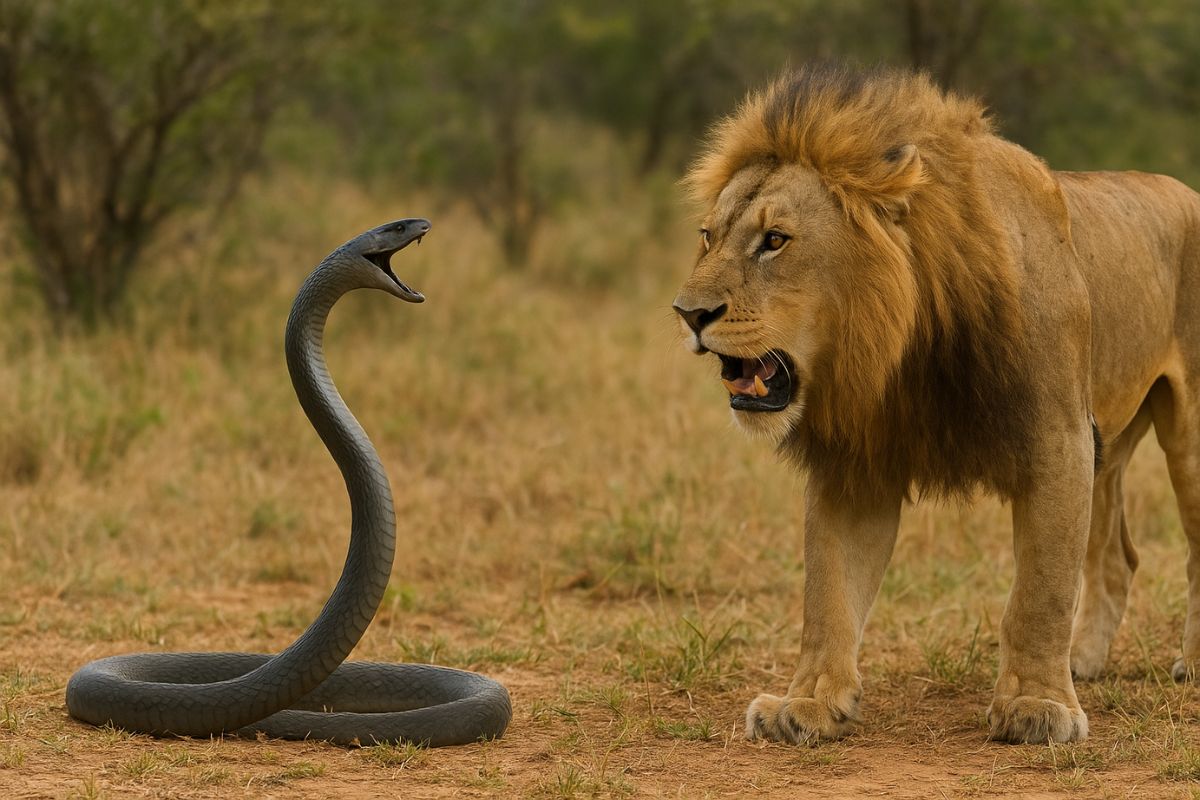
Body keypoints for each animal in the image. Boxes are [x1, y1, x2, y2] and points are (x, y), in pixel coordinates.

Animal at [673, 64, 1200, 745]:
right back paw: (1084, 661)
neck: (901, 346)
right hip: (1108, 444)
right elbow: (828, 592)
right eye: (708, 237)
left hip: (1185, 437)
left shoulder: (1059, 441)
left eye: (775, 240)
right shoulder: (856, 464)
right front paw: (808, 702)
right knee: (1116, 558)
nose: (688, 313)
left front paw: (1036, 705)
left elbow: (1041, 589)